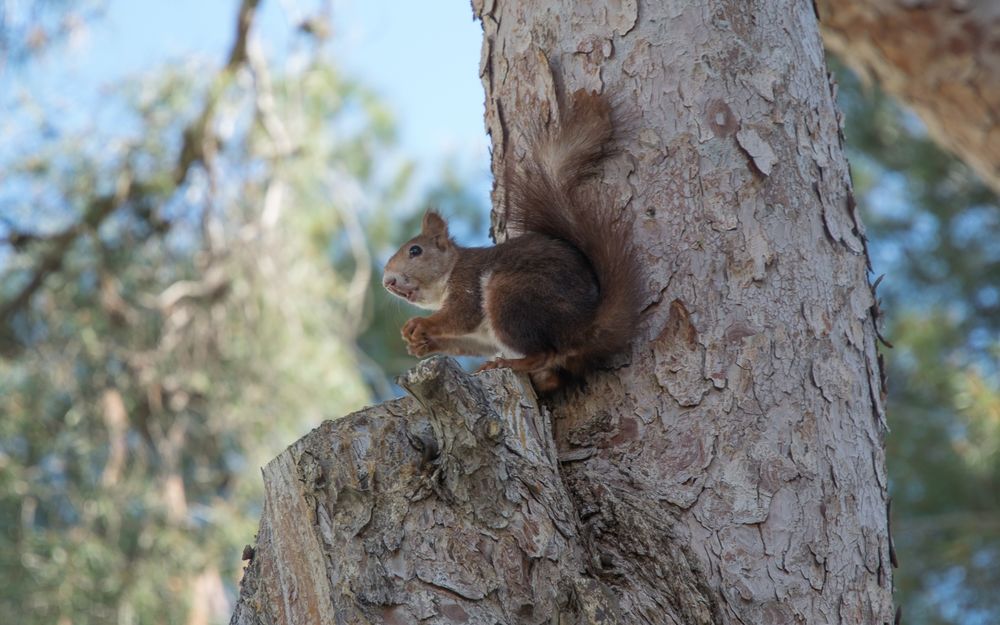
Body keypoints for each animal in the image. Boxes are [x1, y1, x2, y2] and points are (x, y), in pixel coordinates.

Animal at [381, 90, 643, 392]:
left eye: (415, 251)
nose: (387, 281)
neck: (449, 272)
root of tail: (584, 326)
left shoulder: (467, 283)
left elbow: (459, 316)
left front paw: (419, 325)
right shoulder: (482, 336)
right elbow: (468, 341)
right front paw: (421, 345)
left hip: (510, 296)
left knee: (544, 353)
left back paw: (506, 364)